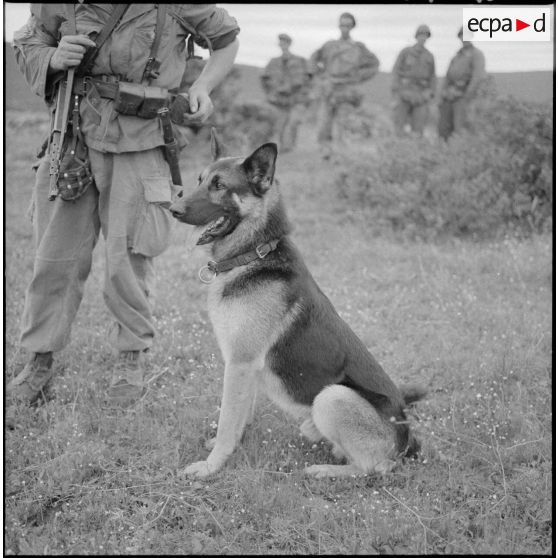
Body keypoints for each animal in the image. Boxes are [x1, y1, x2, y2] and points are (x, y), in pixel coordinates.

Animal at [168, 129, 426, 480]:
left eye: (219, 186)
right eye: (199, 180)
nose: (172, 208)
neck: (254, 254)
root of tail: (406, 440)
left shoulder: (240, 363)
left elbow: (227, 420)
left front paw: (211, 465)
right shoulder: (245, 366)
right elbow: (239, 417)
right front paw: (234, 445)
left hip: (331, 397)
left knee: (376, 467)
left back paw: (325, 471)